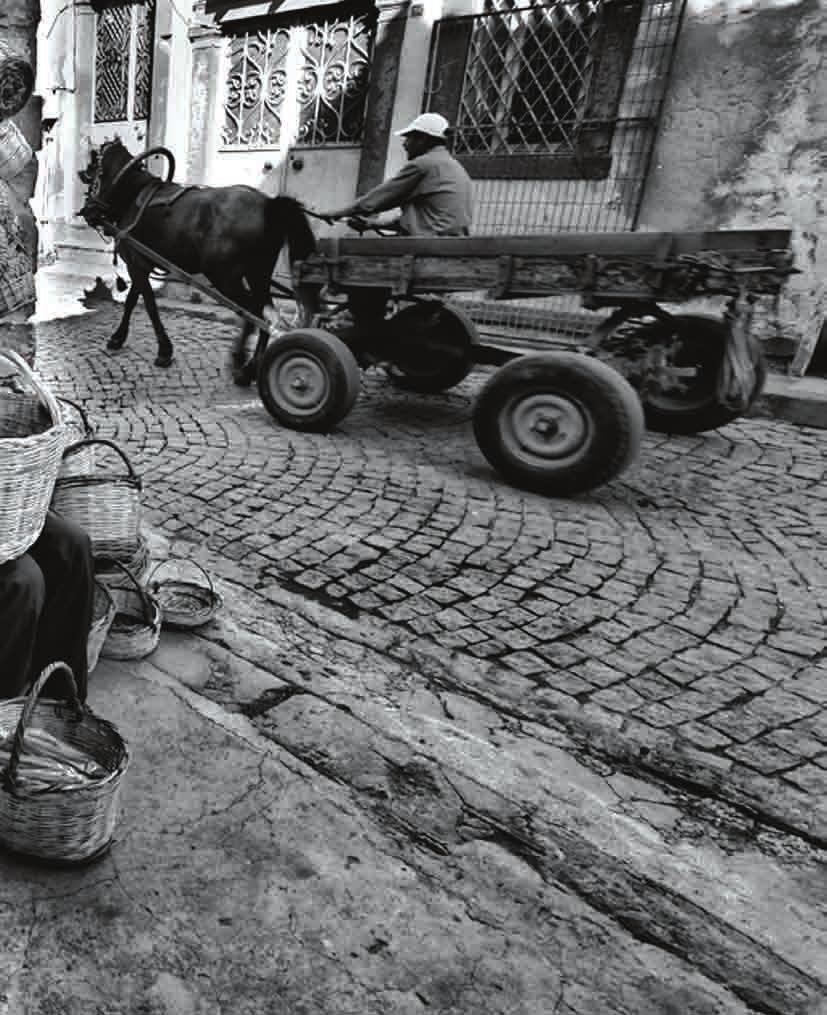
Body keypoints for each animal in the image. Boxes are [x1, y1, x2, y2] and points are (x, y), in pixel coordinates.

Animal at [76, 139, 316, 381]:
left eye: (93, 168)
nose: (87, 211)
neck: (132, 194)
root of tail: (269, 205)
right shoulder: (142, 264)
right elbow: (133, 300)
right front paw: (118, 337)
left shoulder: (136, 263)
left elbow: (149, 304)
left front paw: (164, 350)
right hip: (259, 274)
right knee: (267, 312)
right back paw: (252, 367)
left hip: (225, 278)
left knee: (255, 312)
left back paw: (241, 361)